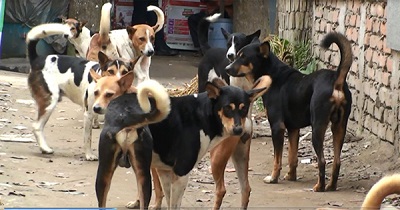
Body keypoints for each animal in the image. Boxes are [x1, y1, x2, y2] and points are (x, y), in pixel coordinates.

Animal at [25, 23, 134, 161]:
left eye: (125, 72)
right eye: (110, 71)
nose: (119, 84)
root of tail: (37, 59)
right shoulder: (89, 114)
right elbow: (88, 138)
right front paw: (89, 155)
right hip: (49, 102)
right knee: (37, 126)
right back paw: (45, 148)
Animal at [225, 31, 354, 192]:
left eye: (243, 58)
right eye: (237, 56)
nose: (226, 68)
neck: (272, 74)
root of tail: (336, 79)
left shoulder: (277, 127)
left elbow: (277, 159)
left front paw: (273, 178)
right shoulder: (293, 129)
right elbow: (292, 157)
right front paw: (291, 176)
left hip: (318, 127)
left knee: (322, 160)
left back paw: (320, 186)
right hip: (339, 127)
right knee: (337, 161)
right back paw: (331, 186)